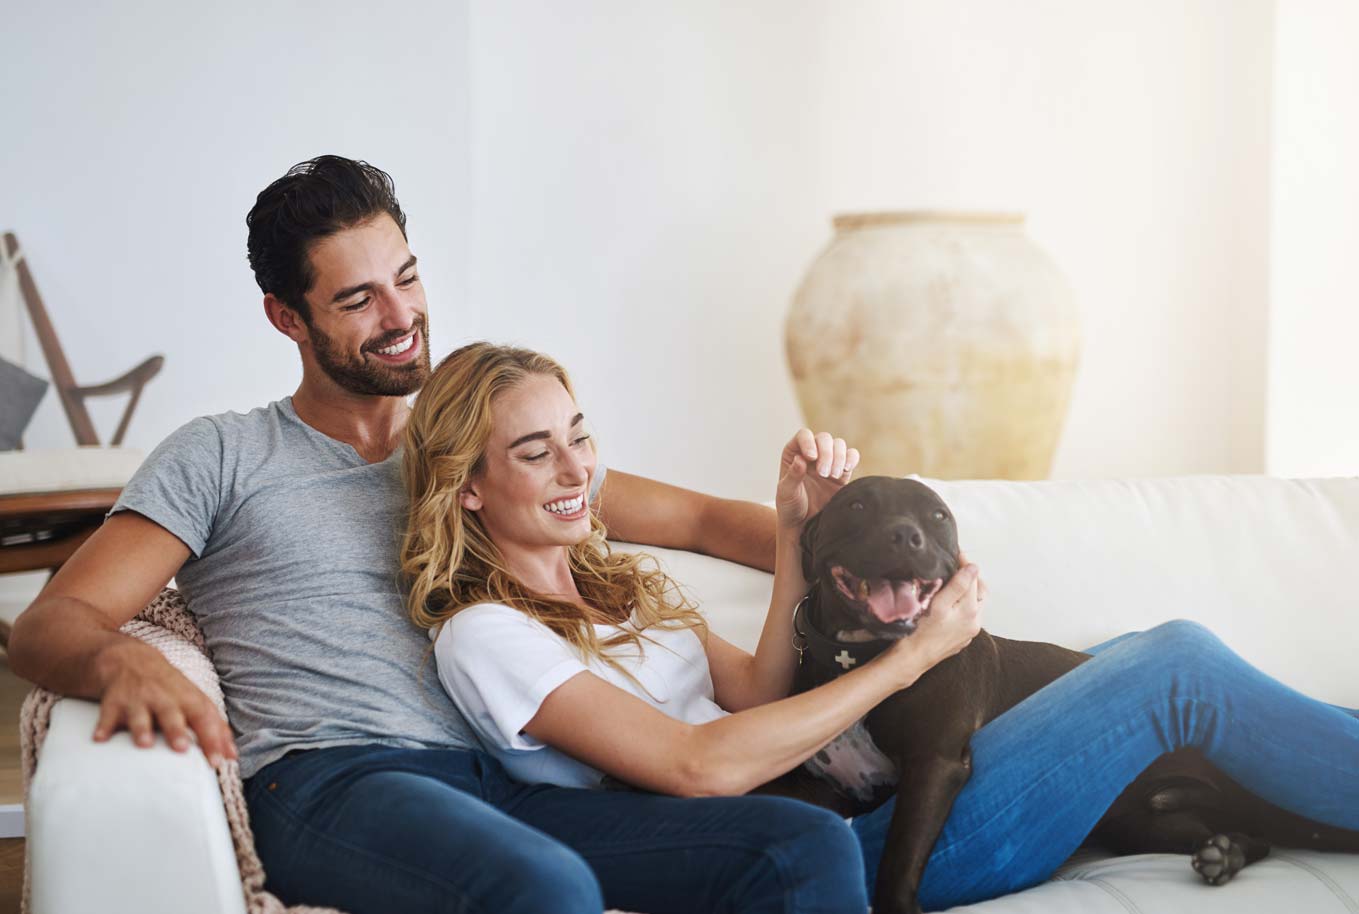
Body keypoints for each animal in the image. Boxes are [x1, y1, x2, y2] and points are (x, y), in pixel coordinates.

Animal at [755, 475, 1359, 912]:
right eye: (857, 506)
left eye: (938, 517)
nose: (907, 536)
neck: (860, 660)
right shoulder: (815, 786)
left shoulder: (935, 765)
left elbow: (900, 857)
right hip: (1148, 823)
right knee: (1250, 835)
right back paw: (1226, 854)